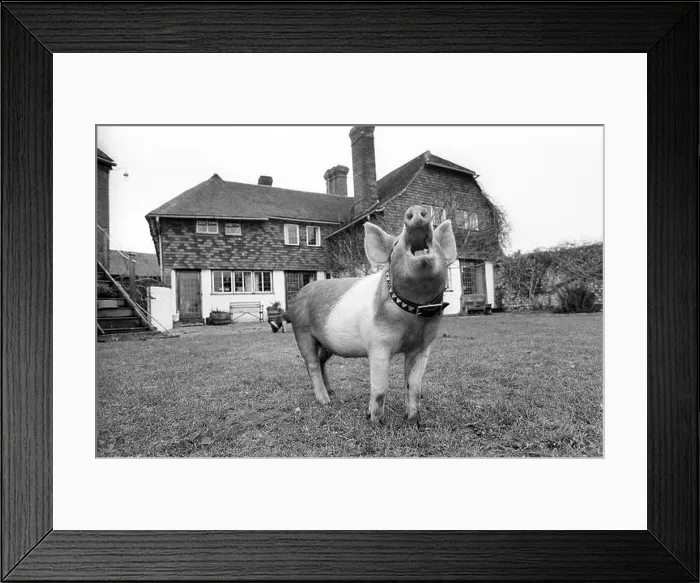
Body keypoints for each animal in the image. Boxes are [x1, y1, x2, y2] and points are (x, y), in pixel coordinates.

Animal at [290, 205, 457, 424]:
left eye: (436, 244)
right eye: (395, 245)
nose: (416, 209)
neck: (413, 313)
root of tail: (300, 293)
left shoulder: (422, 347)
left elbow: (414, 386)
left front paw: (413, 421)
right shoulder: (378, 344)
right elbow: (380, 386)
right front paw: (376, 421)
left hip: (326, 342)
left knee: (321, 361)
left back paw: (332, 392)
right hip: (302, 331)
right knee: (312, 364)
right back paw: (325, 401)